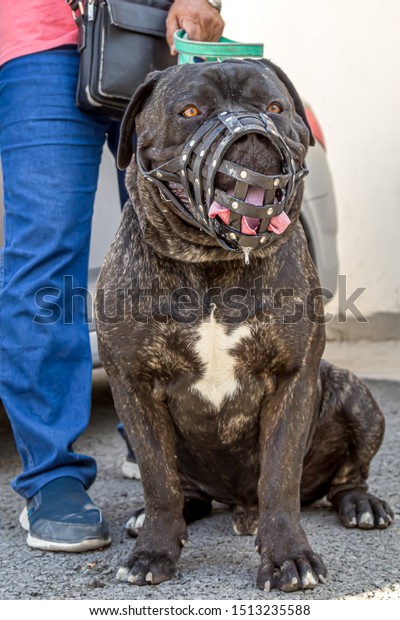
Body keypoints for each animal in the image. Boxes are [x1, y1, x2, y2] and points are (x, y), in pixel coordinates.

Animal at [94, 59, 394, 592]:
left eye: (274, 107)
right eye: (190, 112)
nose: (253, 132)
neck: (210, 264)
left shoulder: (292, 380)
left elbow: (278, 479)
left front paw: (288, 558)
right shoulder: (134, 384)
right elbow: (157, 479)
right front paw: (153, 551)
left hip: (356, 394)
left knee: (346, 475)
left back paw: (361, 504)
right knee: (182, 489)